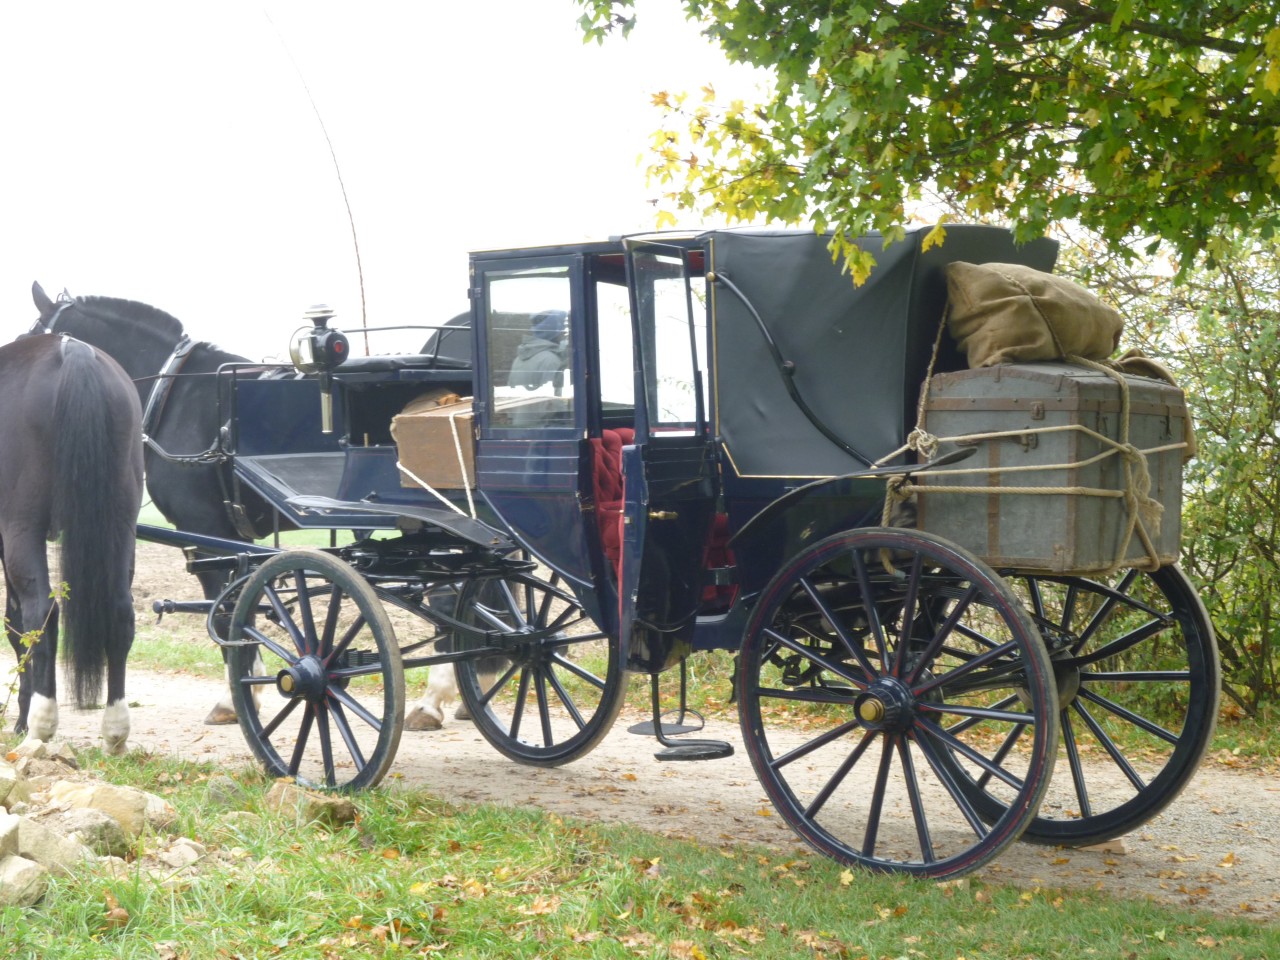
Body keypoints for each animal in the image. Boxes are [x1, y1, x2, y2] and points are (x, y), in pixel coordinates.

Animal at [1, 335, 144, 754]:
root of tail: (71, 350)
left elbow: (15, 624)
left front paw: (21, 719)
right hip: (120, 527)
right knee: (120, 613)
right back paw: (115, 730)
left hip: (22, 528)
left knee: (41, 614)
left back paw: (40, 724)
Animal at [30, 283, 470, 731]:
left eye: (34, 333)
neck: (176, 394)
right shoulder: (227, 539)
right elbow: (246, 606)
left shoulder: (206, 533)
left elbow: (227, 612)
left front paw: (236, 699)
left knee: (447, 599)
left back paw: (432, 701)